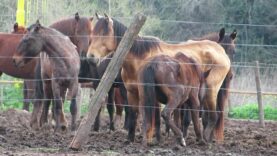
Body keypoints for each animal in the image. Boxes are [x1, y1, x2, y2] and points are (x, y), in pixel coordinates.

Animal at [87, 14, 230, 143]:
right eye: (93, 33)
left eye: (103, 34)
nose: (90, 57)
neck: (140, 60)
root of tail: (221, 50)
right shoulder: (131, 92)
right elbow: (133, 115)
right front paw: (130, 139)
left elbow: (153, 118)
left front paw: (153, 139)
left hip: (210, 91)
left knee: (213, 115)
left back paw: (204, 138)